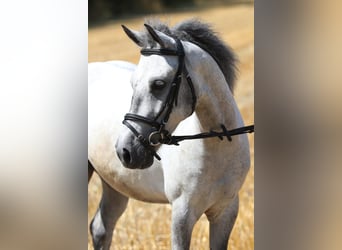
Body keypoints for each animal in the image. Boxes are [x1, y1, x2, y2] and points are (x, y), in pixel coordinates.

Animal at [88, 20, 251, 250]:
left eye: (158, 83)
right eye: (133, 83)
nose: (125, 151)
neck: (218, 147)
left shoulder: (225, 210)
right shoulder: (182, 215)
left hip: (114, 185)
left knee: (101, 228)